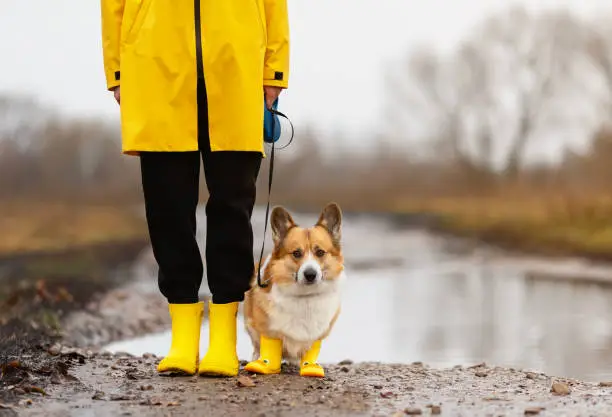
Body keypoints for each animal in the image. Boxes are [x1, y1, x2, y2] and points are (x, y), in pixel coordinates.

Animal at [243, 202, 344, 376]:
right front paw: (265, 365)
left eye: (320, 252)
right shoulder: (268, 330)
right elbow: (269, 346)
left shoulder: (316, 336)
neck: (305, 296)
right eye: (296, 253)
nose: (310, 274)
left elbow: (310, 351)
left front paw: (310, 367)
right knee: (256, 345)